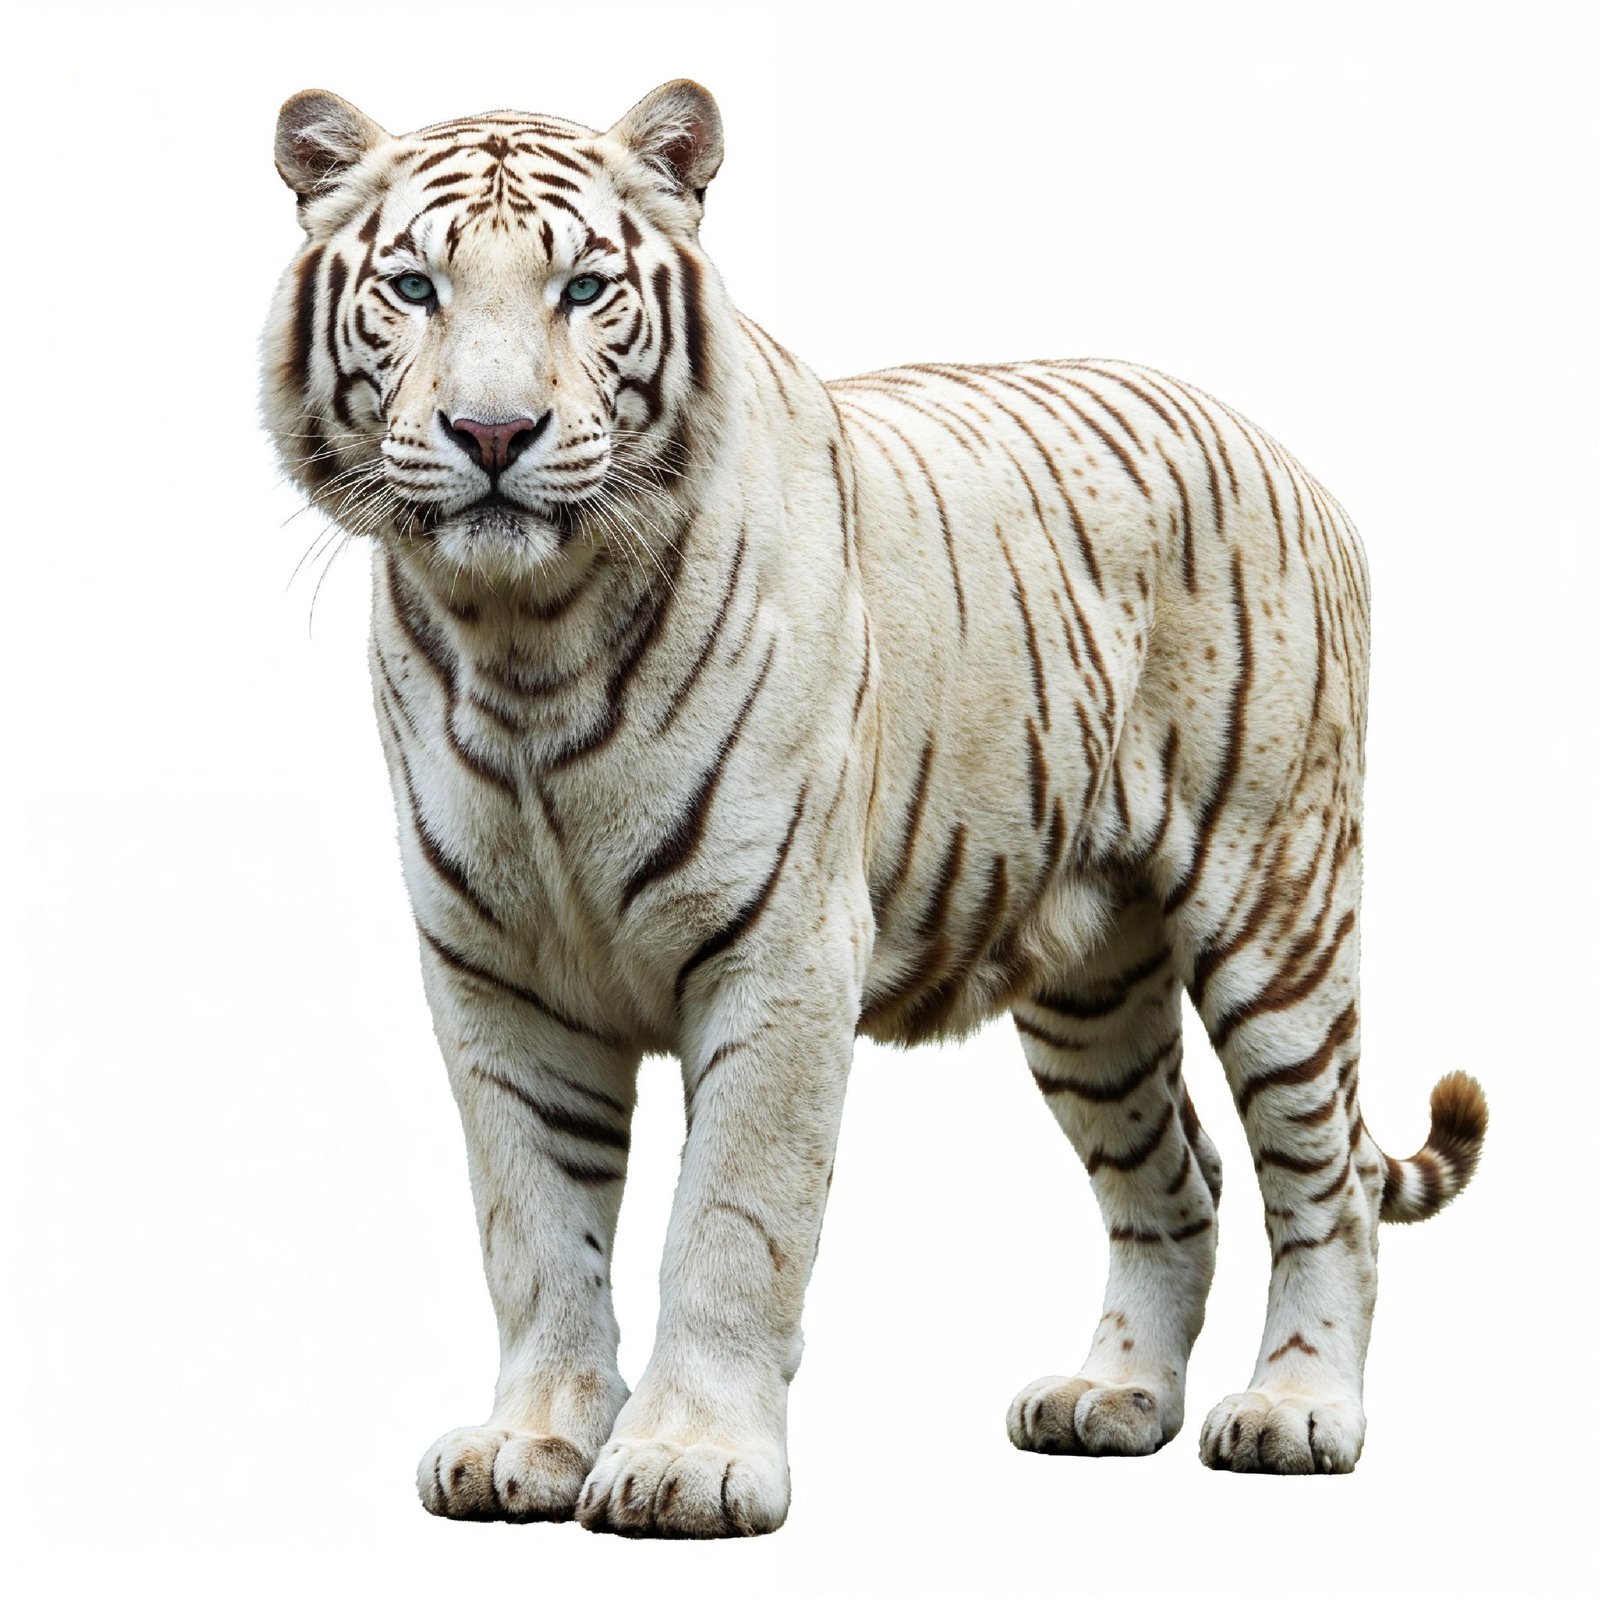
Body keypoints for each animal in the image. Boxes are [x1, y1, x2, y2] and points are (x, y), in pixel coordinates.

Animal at [262, 77, 1487, 1537]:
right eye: (413, 287)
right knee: (1175, 1179)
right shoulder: (493, 971)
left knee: (1326, 1178)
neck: (525, 637)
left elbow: (731, 1220)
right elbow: (535, 1225)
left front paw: (685, 1463)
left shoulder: (782, 947)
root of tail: (1286, 453)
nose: (493, 436)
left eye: (582, 288)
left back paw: (1297, 1411)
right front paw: (532, 1442)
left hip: (1277, 905)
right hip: (1090, 983)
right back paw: (1110, 1399)